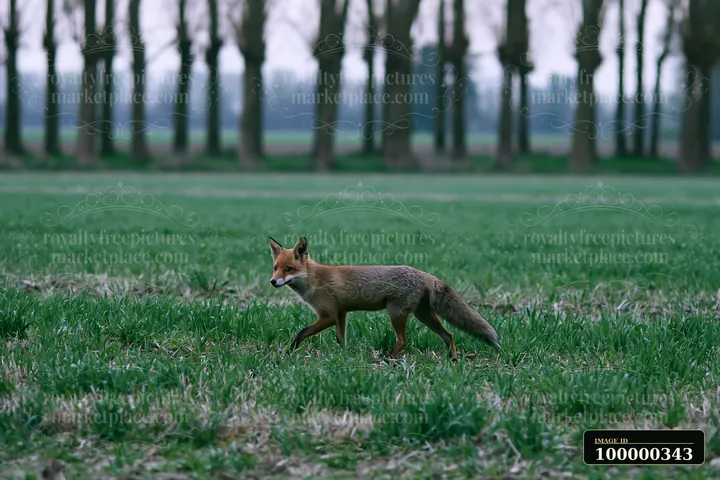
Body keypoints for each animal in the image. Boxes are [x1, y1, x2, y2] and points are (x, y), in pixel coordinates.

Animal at [268, 236, 501, 362]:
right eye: (275, 267)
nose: (272, 281)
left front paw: (289, 351)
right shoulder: (341, 314)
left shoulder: (329, 315)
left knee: (404, 340)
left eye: (288, 269)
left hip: (395, 313)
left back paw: (388, 358)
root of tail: (423, 273)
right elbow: (341, 340)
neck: (313, 280)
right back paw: (452, 359)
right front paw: (343, 356)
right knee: (449, 335)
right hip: (424, 315)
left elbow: (301, 332)